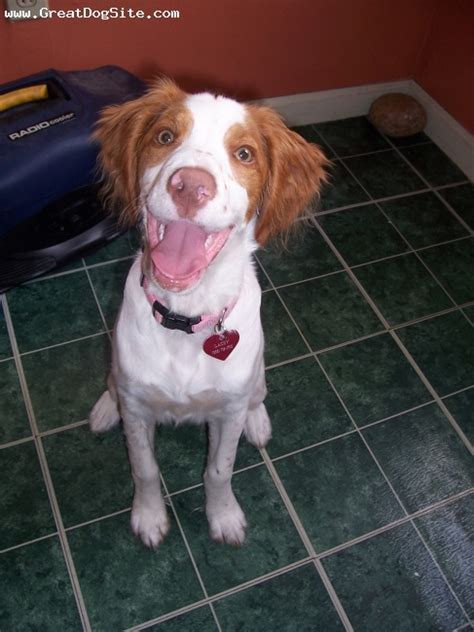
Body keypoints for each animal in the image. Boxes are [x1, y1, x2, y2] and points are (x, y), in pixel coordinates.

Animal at [88, 80, 326, 548]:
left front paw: (224, 517)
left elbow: (219, 470)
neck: (186, 318)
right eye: (165, 136)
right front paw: (149, 517)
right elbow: (144, 468)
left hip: (255, 377)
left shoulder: (228, 410)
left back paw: (259, 424)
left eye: (245, 153)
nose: (190, 186)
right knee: (111, 384)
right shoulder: (138, 406)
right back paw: (106, 410)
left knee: (258, 395)